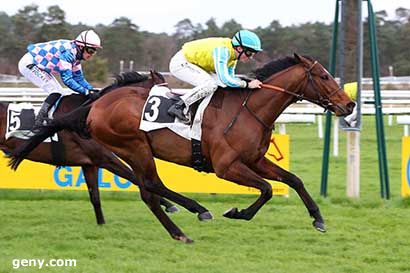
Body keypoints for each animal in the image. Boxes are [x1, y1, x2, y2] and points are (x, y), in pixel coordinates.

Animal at [1, 69, 178, 223]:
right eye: (163, 93)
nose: (172, 112)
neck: (93, 113)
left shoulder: (89, 163)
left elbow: (95, 197)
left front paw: (101, 224)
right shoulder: (105, 159)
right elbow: (134, 177)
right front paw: (168, 204)